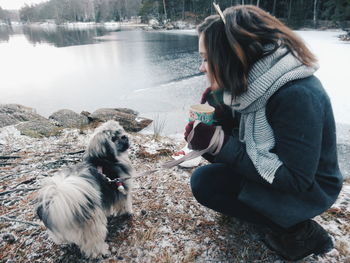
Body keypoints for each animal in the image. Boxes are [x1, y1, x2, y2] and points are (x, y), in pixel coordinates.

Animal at [36, 121, 133, 258]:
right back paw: (102, 251)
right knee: (93, 243)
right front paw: (128, 213)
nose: (124, 136)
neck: (105, 159)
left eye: (120, 131)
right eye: (113, 138)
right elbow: (125, 204)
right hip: (93, 224)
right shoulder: (121, 187)